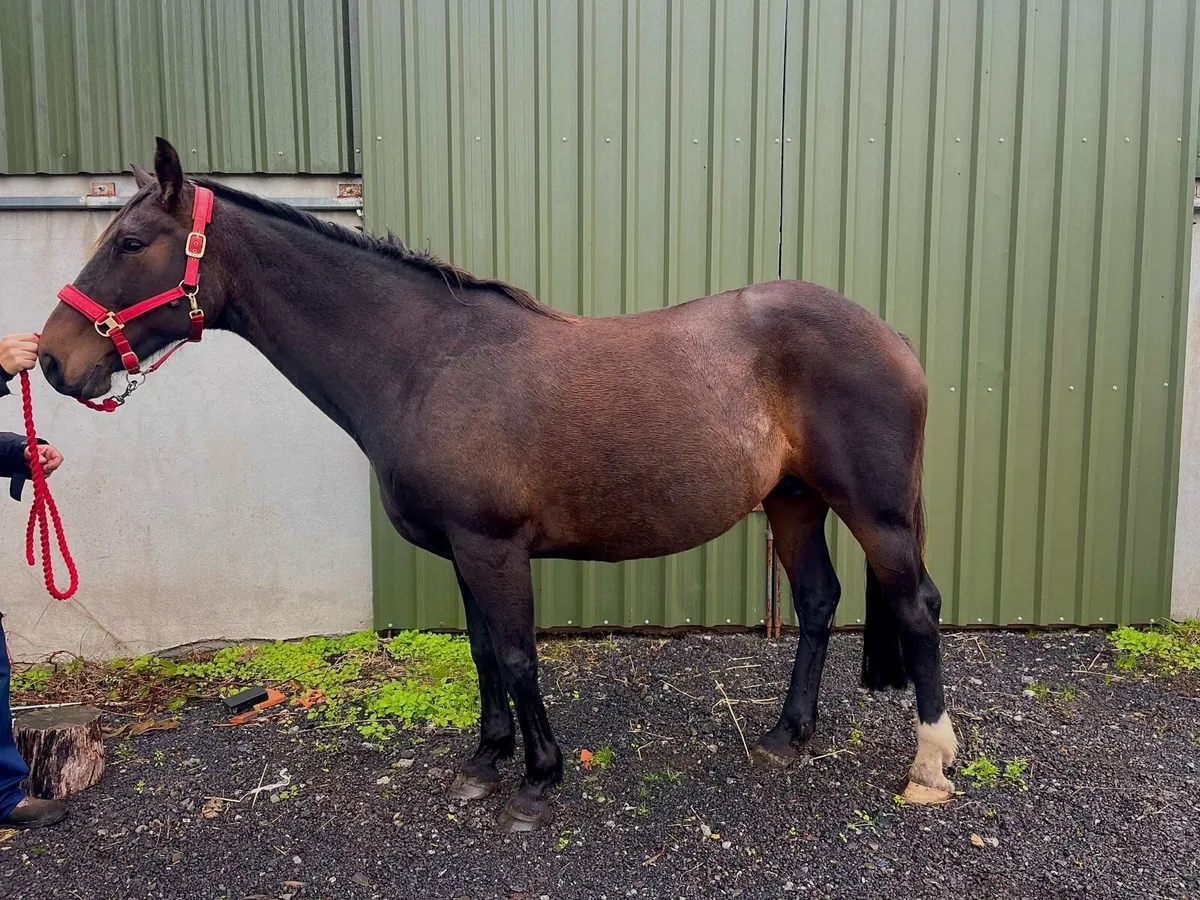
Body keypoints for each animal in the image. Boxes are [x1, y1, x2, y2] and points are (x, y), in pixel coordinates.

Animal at [37, 137, 957, 832]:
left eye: (130, 243)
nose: (50, 360)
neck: (425, 362)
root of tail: (893, 334)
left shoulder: (493, 546)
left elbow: (517, 655)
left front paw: (538, 781)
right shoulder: (461, 550)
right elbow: (483, 653)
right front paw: (485, 761)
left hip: (872, 510)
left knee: (915, 606)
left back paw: (930, 766)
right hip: (793, 500)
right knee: (818, 601)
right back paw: (786, 735)